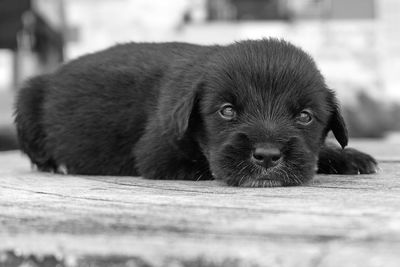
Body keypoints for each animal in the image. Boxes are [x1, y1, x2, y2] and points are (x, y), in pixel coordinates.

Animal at [14, 38, 378, 187]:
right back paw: (58, 164)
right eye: (227, 111)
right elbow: (206, 165)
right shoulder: (157, 155)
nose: (267, 156)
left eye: (305, 116)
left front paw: (348, 157)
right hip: (26, 100)